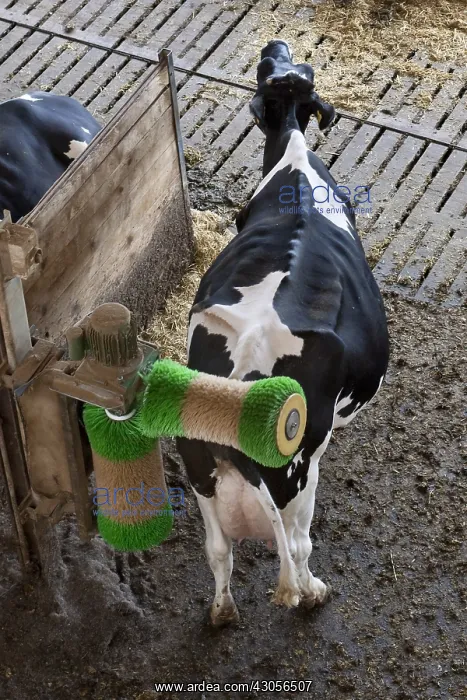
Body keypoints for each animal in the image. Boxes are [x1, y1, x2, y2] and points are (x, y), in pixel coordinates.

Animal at [177, 40, 389, 626]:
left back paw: (222, 613)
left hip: (198, 465)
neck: (293, 159)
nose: (278, 47)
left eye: (275, 67)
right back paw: (314, 593)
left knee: (218, 549)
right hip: (299, 470)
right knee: (296, 545)